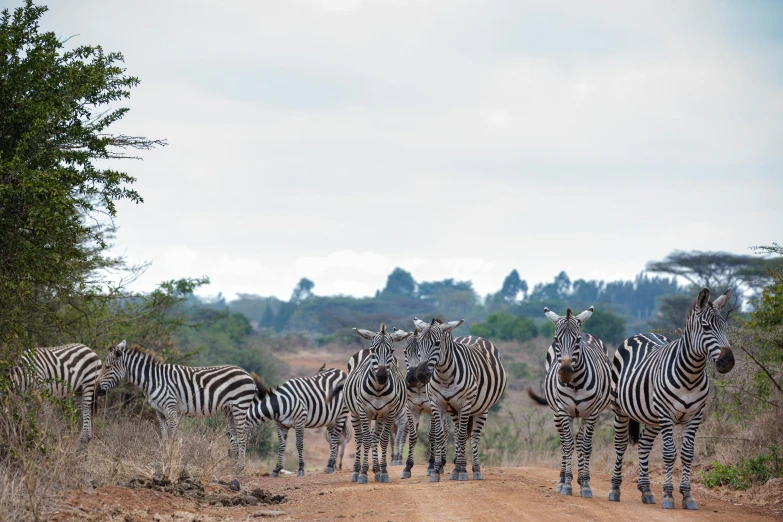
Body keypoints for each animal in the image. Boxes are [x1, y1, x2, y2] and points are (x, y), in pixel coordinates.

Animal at [97, 340, 258, 470]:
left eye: (107, 367)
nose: (97, 390)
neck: (154, 380)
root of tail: (247, 374)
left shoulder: (170, 408)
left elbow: (172, 436)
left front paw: (170, 460)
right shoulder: (159, 412)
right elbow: (163, 437)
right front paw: (161, 459)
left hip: (240, 406)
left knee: (242, 436)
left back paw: (239, 468)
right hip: (229, 410)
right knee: (235, 436)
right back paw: (230, 466)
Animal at [336, 322, 410, 482]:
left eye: (392, 350)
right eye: (373, 350)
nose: (382, 377)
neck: (378, 389)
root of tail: (363, 350)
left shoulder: (389, 412)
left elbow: (383, 440)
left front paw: (383, 471)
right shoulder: (364, 411)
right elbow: (366, 439)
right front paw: (363, 473)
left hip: (379, 416)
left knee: (375, 438)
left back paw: (376, 470)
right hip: (355, 414)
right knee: (360, 438)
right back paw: (356, 471)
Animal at [410, 314, 508, 482]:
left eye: (437, 343)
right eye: (419, 344)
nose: (422, 375)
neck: (444, 375)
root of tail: (474, 336)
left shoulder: (465, 404)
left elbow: (463, 436)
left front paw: (462, 470)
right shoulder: (437, 403)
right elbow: (439, 435)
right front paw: (436, 470)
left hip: (482, 409)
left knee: (474, 436)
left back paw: (474, 469)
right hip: (455, 410)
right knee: (456, 434)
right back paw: (457, 467)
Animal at [528, 304, 612, 496]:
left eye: (577, 340)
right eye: (556, 339)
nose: (565, 372)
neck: (575, 384)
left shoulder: (591, 413)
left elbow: (585, 446)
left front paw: (586, 484)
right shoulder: (564, 412)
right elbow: (567, 445)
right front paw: (566, 484)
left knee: (581, 442)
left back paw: (581, 478)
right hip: (556, 414)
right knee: (565, 442)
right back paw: (562, 480)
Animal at [608, 284, 740, 508]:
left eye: (724, 327)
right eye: (706, 327)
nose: (728, 362)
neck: (690, 375)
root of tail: (641, 333)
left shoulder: (694, 416)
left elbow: (687, 455)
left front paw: (687, 496)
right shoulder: (667, 414)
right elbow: (670, 454)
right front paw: (669, 496)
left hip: (652, 417)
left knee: (644, 445)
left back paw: (646, 490)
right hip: (621, 409)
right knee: (620, 444)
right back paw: (615, 489)